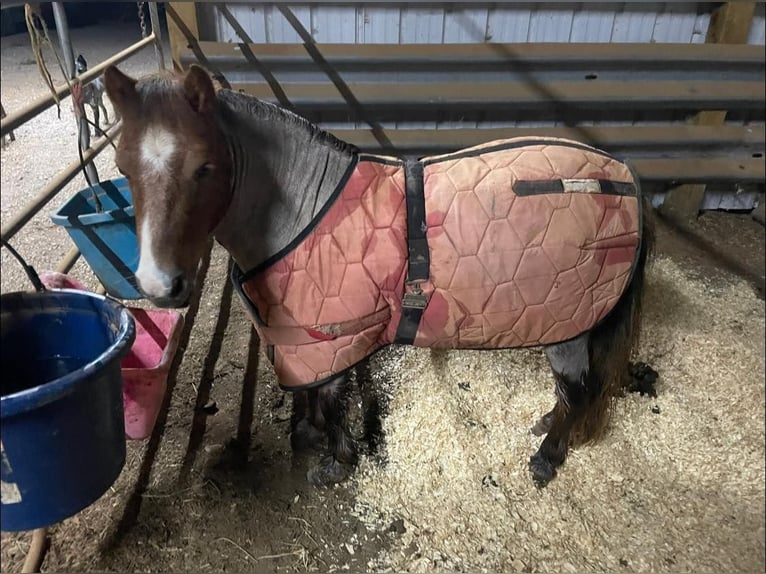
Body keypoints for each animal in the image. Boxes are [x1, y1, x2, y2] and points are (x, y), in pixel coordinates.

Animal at [102, 65, 656, 488]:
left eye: (204, 167)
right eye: (123, 166)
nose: (158, 285)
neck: (303, 211)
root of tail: (628, 179)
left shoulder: (335, 336)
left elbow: (331, 402)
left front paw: (335, 462)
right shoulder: (301, 338)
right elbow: (307, 393)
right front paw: (308, 437)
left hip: (570, 324)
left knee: (580, 388)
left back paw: (547, 457)